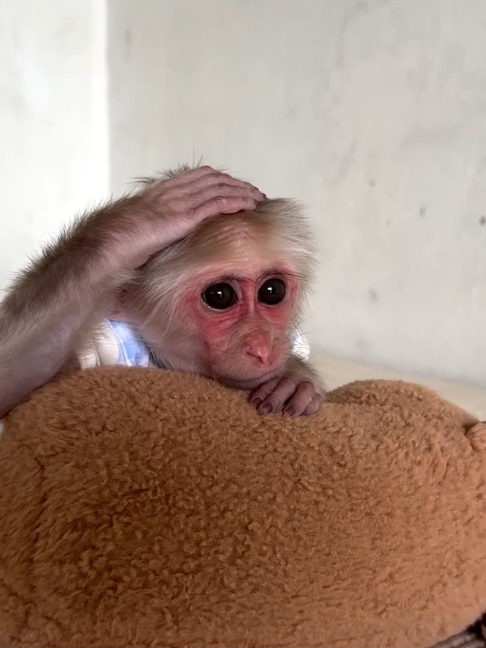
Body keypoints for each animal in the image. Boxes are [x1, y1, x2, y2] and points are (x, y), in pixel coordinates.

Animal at [0, 164, 325, 420]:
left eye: (272, 290)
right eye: (220, 296)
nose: (262, 347)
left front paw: (294, 382)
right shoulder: (106, 339)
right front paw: (142, 221)